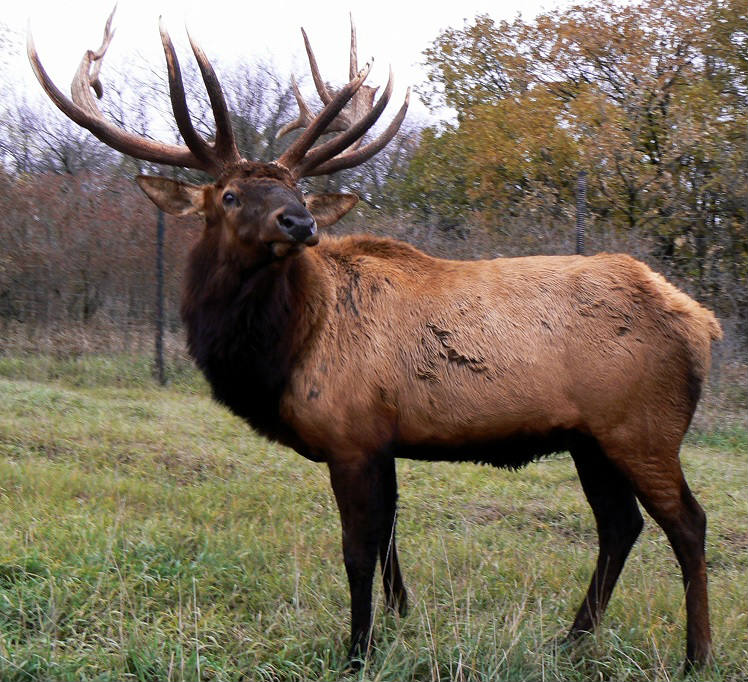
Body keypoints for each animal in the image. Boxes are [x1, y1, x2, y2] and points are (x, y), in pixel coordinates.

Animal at [29, 8, 721, 670]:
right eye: (228, 194)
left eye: (297, 189)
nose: (300, 222)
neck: (286, 351)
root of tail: (703, 323)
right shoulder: (382, 439)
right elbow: (391, 540)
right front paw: (401, 616)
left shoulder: (352, 435)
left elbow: (359, 551)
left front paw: (357, 649)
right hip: (590, 439)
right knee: (620, 526)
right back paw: (570, 640)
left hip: (642, 427)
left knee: (687, 523)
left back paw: (695, 654)